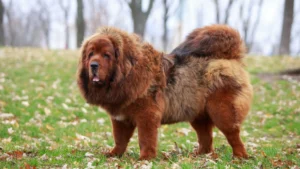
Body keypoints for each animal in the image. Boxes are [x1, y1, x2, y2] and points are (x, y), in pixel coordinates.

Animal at [76, 25, 252, 160]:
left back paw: (239, 157)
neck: (127, 74)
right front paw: (114, 154)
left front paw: (145, 158)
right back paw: (199, 156)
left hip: (222, 112)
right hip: (198, 115)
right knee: (206, 139)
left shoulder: (146, 115)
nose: (93, 65)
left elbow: (145, 139)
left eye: (106, 55)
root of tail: (230, 58)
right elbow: (120, 139)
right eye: (91, 54)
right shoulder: (120, 118)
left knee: (233, 135)